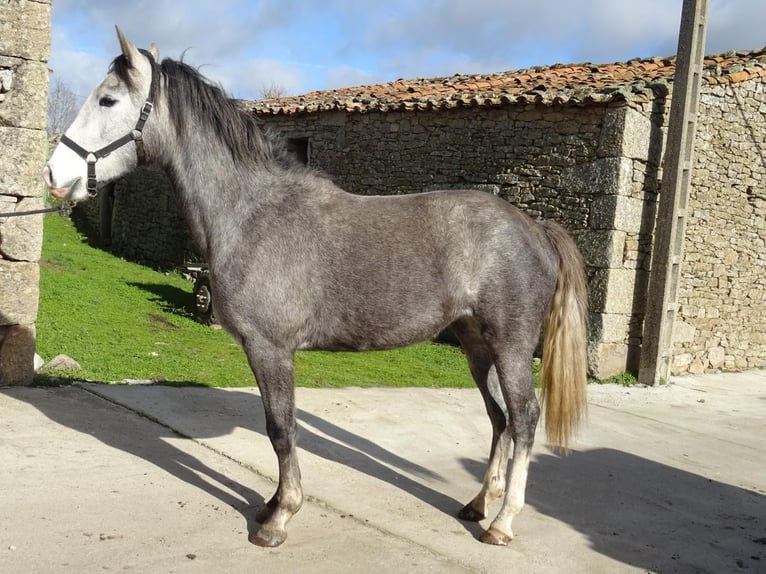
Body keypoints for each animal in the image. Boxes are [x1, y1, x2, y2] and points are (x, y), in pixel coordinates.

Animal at [44, 27, 588, 548]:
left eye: (108, 100)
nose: (54, 174)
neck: (253, 215)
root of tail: (535, 227)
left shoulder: (271, 350)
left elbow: (281, 430)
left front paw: (279, 517)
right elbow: (278, 430)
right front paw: (270, 504)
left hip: (510, 346)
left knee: (523, 418)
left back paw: (502, 522)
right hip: (477, 346)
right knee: (499, 419)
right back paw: (478, 505)